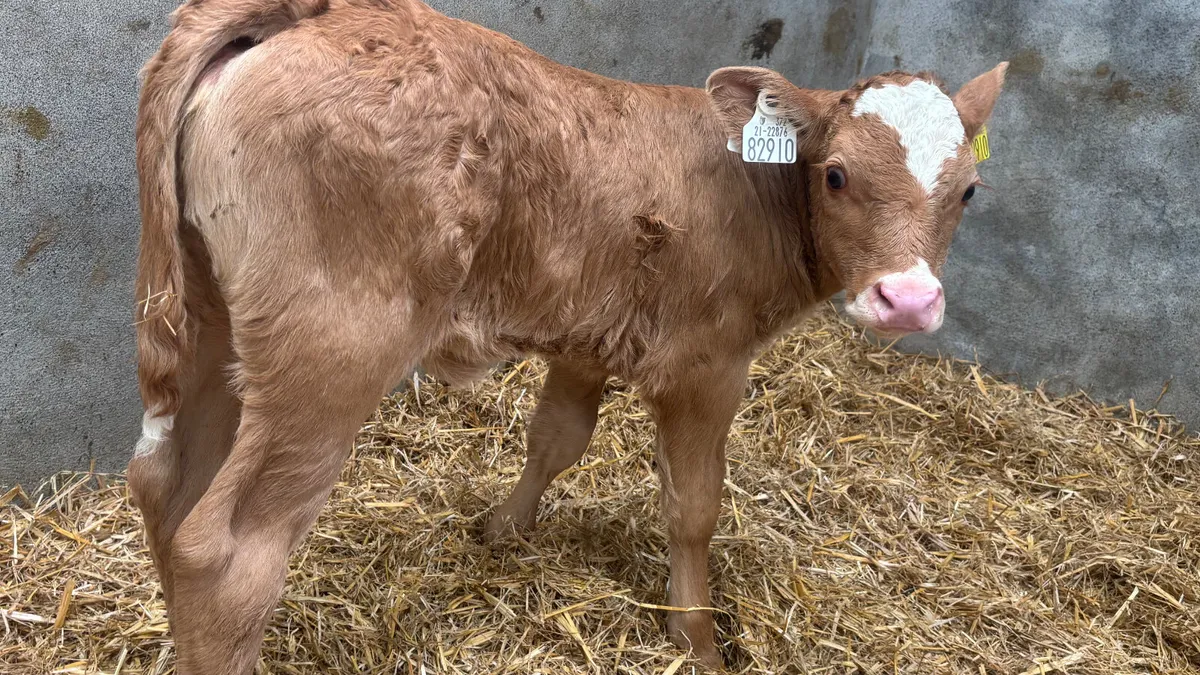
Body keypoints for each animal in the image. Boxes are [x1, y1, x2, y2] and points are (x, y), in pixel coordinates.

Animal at [128, 0, 1007, 670]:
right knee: (227, 551)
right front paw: (697, 638)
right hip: (330, 347)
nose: (908, 299)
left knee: (165, 489)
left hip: (209, 315)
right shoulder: (709, 365)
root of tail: (313, 13)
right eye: (835, 175)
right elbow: (694, 505)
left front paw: (500, 531)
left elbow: (555, 437)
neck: (751, 184)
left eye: (969, 190)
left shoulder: (588, 340)